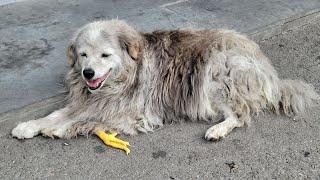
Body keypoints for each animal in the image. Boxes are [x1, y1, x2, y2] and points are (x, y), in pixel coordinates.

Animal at [11, 20, 318, 153]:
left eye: (105, 55)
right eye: (83, 54)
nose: (88, 74)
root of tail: (269, 71)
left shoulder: (126, 111)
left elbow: (81, 119)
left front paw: (55, 129)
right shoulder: (91, 99)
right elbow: (59, 113)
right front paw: (29, 126)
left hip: (217, 71)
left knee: (240, 114)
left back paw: (217, 130)